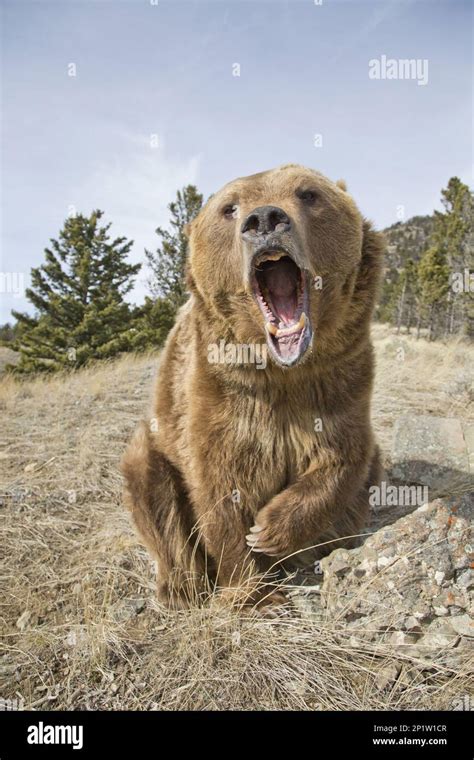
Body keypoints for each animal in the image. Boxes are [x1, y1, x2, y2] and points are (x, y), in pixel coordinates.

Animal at [120, 165, 384, 612]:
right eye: (229, 208)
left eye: (308, 193)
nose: (265, 219)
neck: (282, 370)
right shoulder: (221, 395)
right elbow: (219, 487)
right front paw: (255, 592)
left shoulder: (341, 380)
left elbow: (346, 456)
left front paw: (269, 529)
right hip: (156, 446)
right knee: (151, 486)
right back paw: (180, 586)